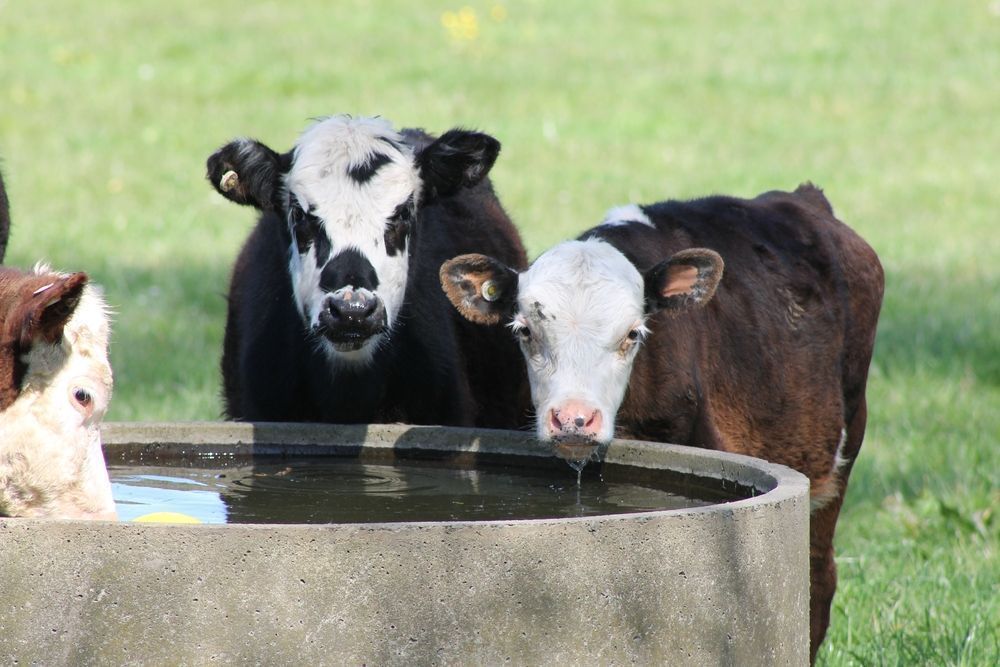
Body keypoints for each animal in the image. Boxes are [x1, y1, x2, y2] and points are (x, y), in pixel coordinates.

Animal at [440, 184, 884, 661]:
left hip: (841, 450)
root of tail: (801, 199)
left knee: (819, 575)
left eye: (632, 334)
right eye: (524, 331)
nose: (574, 418)